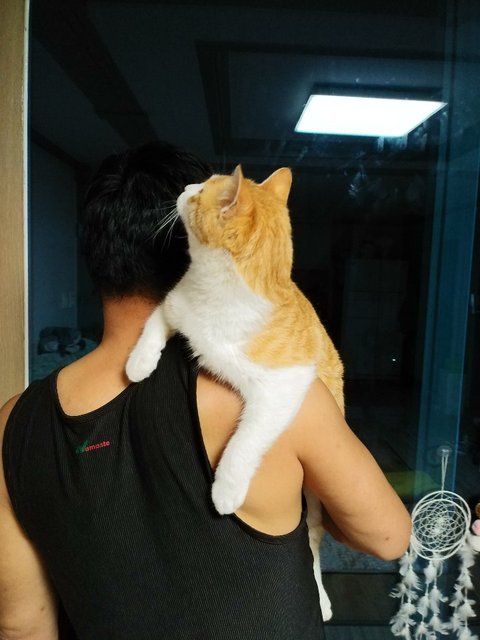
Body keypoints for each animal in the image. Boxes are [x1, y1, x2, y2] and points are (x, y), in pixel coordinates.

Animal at [126, 165, 344, 621]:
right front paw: (138, 364)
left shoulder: (284, 388)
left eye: (198, 195)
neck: (216, 295)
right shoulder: (174, 306)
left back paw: (321, 598)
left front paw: (225, 490)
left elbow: (245, 442)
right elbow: (153, 325)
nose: (185, 188)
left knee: (313, 543)